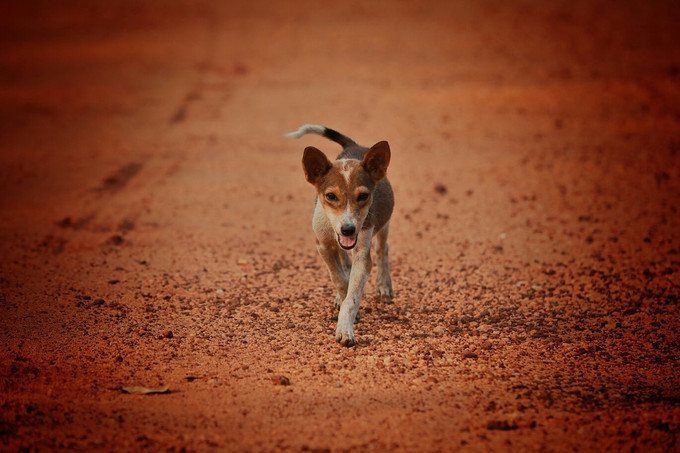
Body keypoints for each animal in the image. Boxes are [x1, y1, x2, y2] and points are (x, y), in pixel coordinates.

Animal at [286, 123, 394, 346]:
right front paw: (343, 299)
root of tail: (354, 146)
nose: (348, 229)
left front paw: (345, 328)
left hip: (383, 224)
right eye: (330, 196)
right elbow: (339, 279)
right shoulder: (323, 246)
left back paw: (384, 286)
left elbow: (352, 296)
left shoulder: (362, 254)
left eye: (363, 196)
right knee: (344, 261)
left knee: (382, 250)